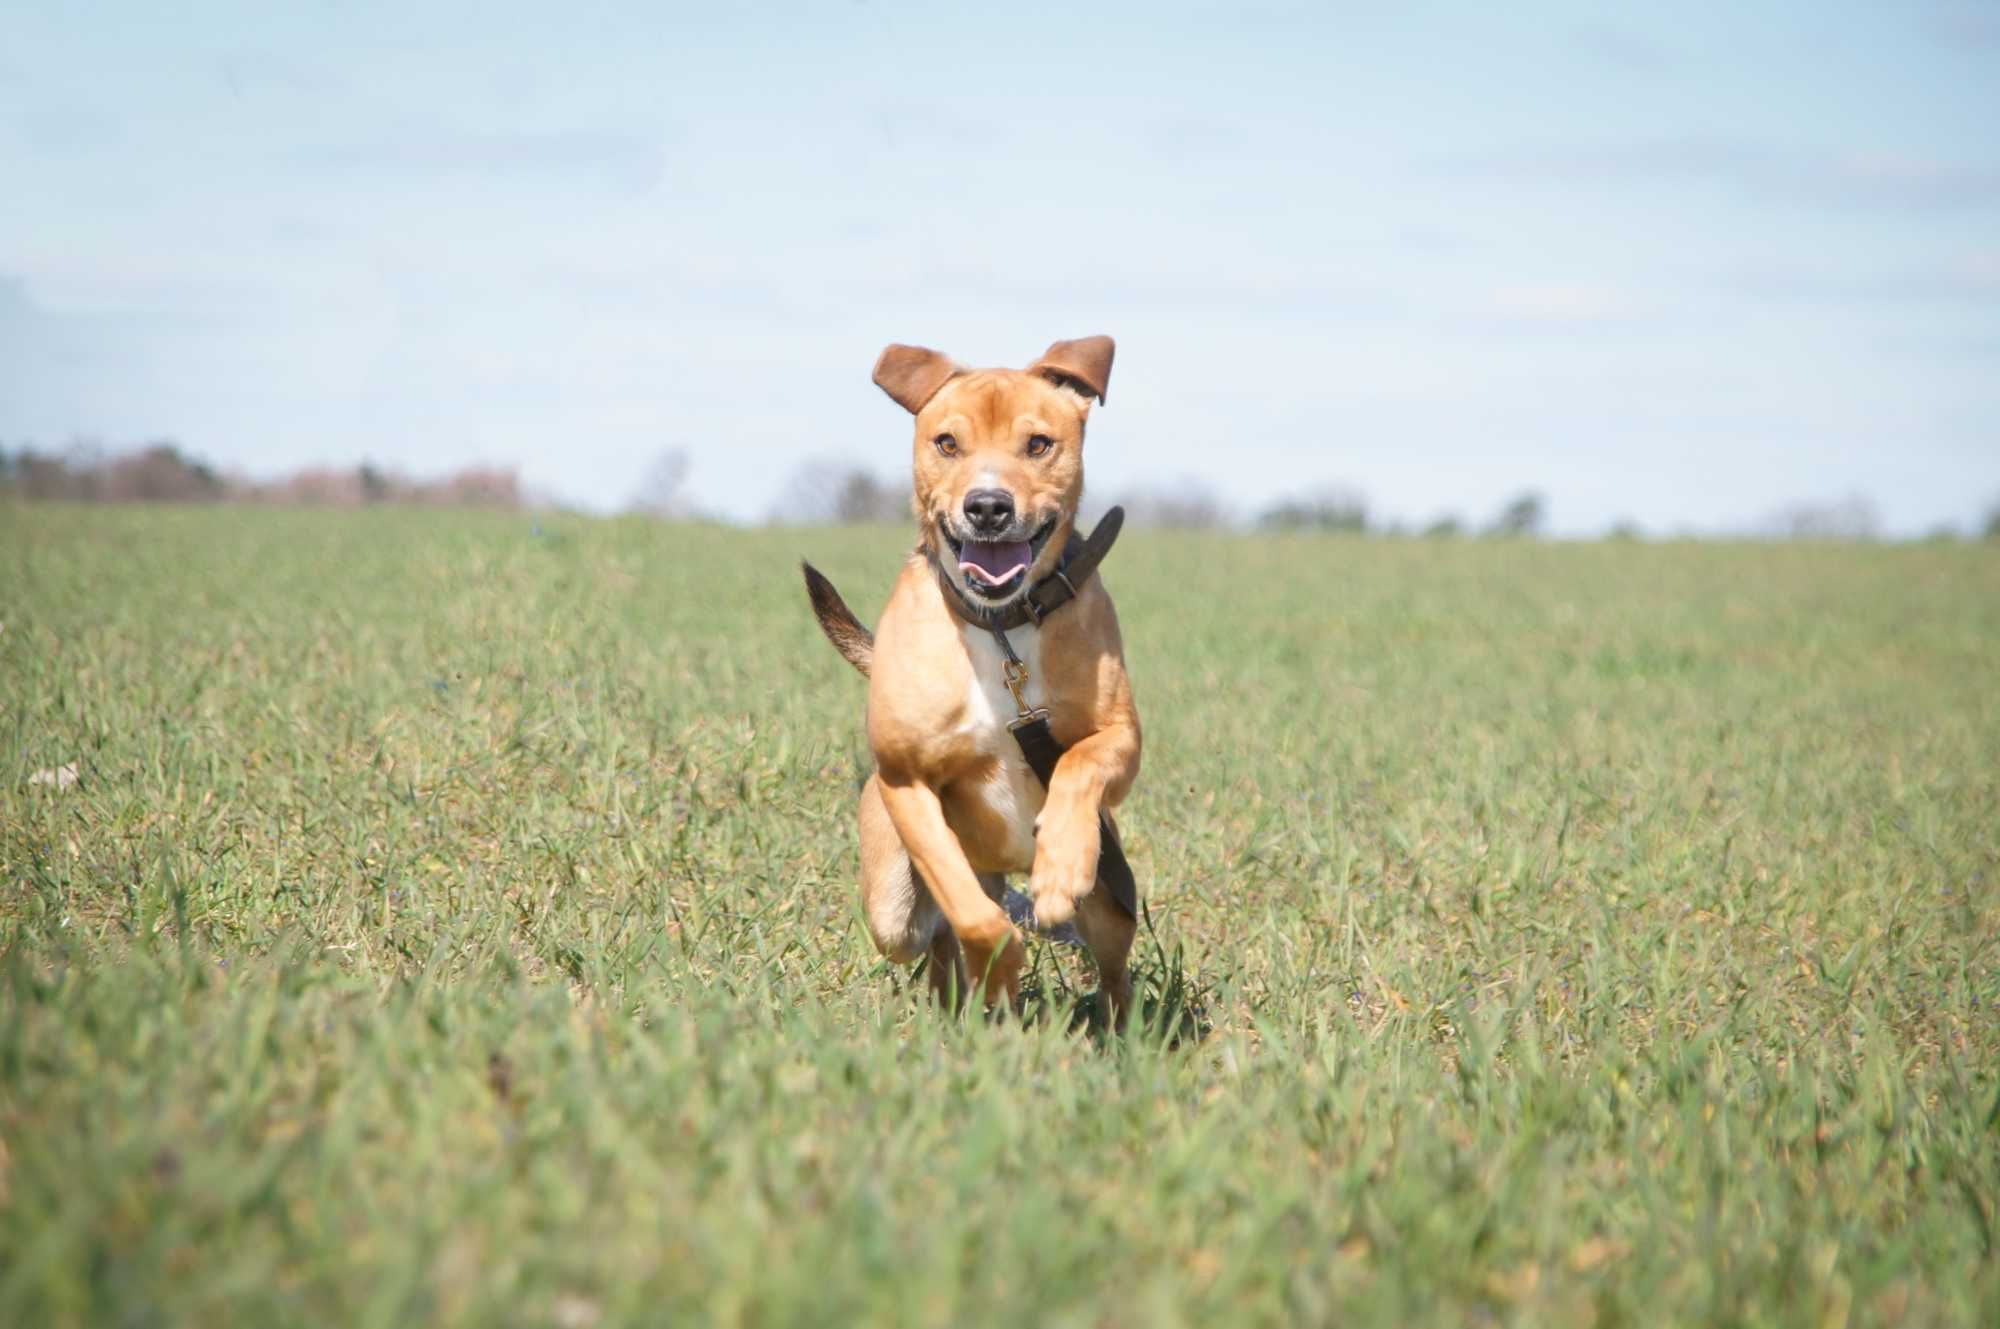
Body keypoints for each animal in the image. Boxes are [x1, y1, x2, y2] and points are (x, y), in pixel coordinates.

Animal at [800, 338, 1144, 1020]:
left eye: (1038, 444)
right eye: (947, 443)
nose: (987, 507)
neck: (999, 626)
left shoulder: (1121, 735)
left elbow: (1081, 762)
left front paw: (1060, 865)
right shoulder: (907, 783)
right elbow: (971, 914)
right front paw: (1001, 963)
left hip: (1111, 904)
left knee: (1114, 971)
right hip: (893, 907)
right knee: (935, 932)